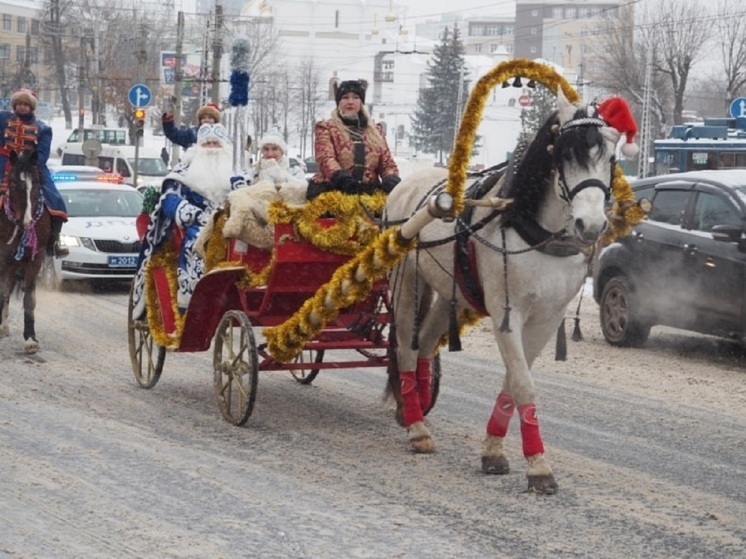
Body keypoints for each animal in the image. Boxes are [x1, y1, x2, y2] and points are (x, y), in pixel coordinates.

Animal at [380, 91, 620, 494]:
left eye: (612, 157)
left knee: (425, 343)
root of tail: (407, 185)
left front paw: (493, 449)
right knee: (405, 348)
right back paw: (416, 426)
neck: (532, 230)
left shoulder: (547, 318)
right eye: (566, 154)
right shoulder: (508, 314)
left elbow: (513, 383)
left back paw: (417, 407)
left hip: (451, 291)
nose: (591, 225)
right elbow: (523, 383)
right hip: (408, 281)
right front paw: (538, 466)